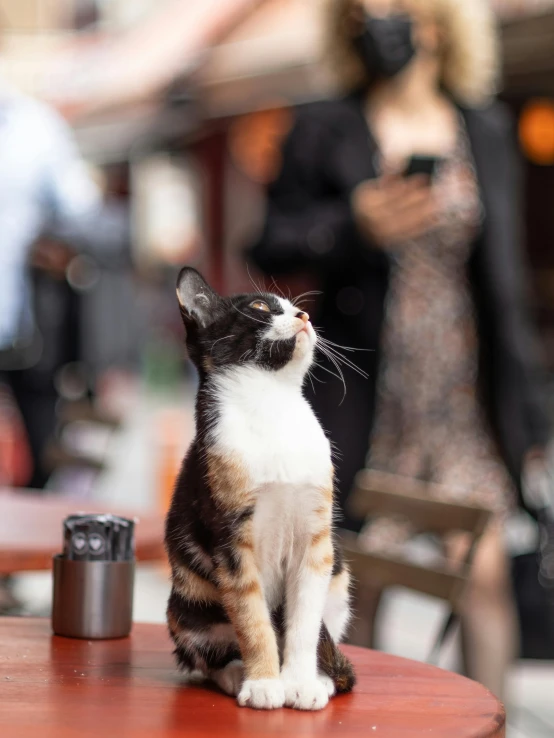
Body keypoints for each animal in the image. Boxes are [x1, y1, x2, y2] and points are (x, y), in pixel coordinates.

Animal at [165, 268, 354, 708]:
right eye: (260, 306)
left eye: (293, 307)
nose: (304, 315)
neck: (272, 405)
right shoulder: (231, 540)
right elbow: (252, 619)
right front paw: (265, 682)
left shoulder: (315, 540)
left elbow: (304, 623)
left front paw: (300, 681)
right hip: (188, 599)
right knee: (204, 656)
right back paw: (235, 674)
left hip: (339, 577)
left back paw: (321, 678)